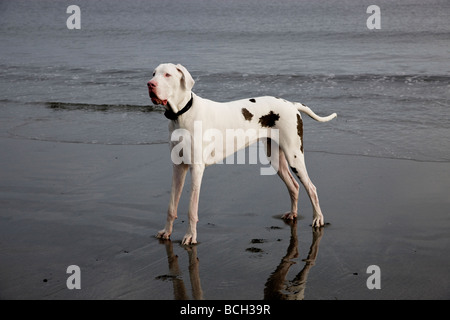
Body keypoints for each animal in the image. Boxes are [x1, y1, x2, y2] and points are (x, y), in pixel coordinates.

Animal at [148, 63, 334, 245]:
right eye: (154, 73)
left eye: (167, 75)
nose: (150, 84)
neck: (182, 114)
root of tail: (292, 104)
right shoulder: (178, 168)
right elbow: (171, 206)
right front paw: (166, 232)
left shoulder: (196, 169)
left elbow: (191, 209)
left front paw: (190, 236)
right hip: (276, 160)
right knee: (294, 186)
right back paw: (293, 214)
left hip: (294, 156)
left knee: (311, 188)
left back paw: (318, 218)